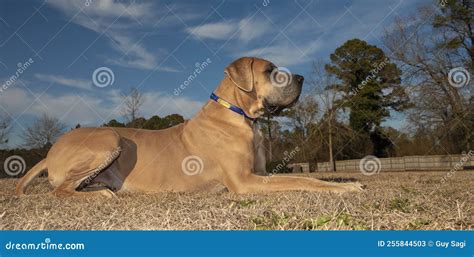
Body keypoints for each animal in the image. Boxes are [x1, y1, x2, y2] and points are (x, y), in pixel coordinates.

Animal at [14, 56, 362, 196]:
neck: (240, 114)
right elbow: (305, 180)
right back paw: (101, 195)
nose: (301, 78)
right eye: (269, 70)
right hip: (109, 139)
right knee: (59, 190)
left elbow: (307, 177)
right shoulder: (244, 180)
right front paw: (345, 187)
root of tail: (50, 150)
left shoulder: (259, 173)